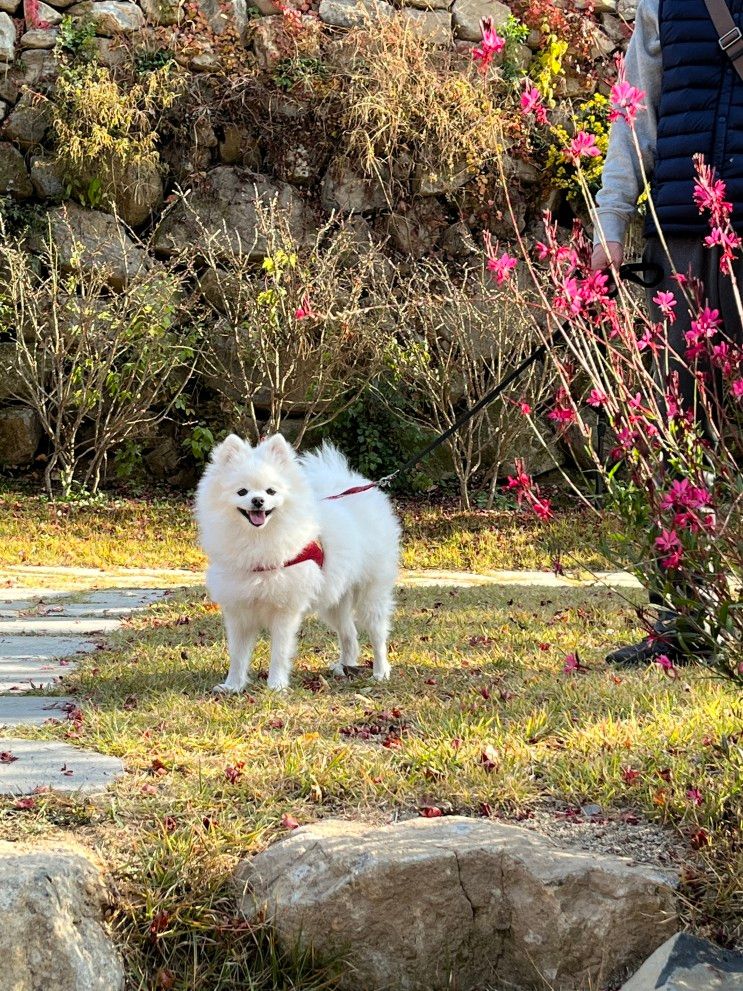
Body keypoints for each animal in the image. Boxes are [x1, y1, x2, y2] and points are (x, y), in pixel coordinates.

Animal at [195, 434, 398, 688]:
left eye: (271, 491)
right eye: (242, 492)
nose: (258, 500)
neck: (258, 540)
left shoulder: (285, 609)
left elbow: (279, 652)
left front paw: (276, 685)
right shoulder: (238, 609)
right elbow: (238, 654)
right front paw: (233, 685)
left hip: (370, 594)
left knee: (377, 634)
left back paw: (380, 672)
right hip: (334, 599)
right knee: (349, 634)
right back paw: (345, 666)